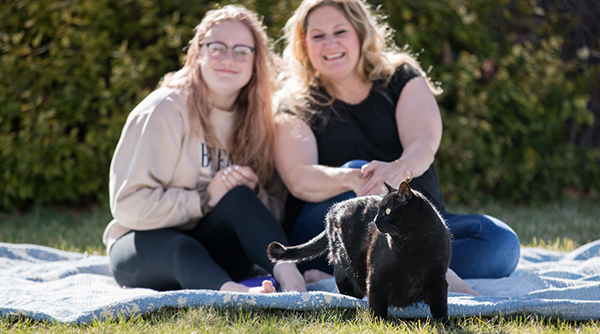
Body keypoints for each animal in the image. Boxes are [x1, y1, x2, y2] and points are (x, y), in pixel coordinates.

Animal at [268, 181, 450, 322]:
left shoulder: (438, 277)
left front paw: (444, 324)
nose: (374, 221)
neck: (412, 244)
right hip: (344, 267)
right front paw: (379, 324)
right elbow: (377, 304)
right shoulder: (377, 277)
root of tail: (335, 208)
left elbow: (441, 304)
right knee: (346, 292)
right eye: (378, 210)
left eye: (388, 210)